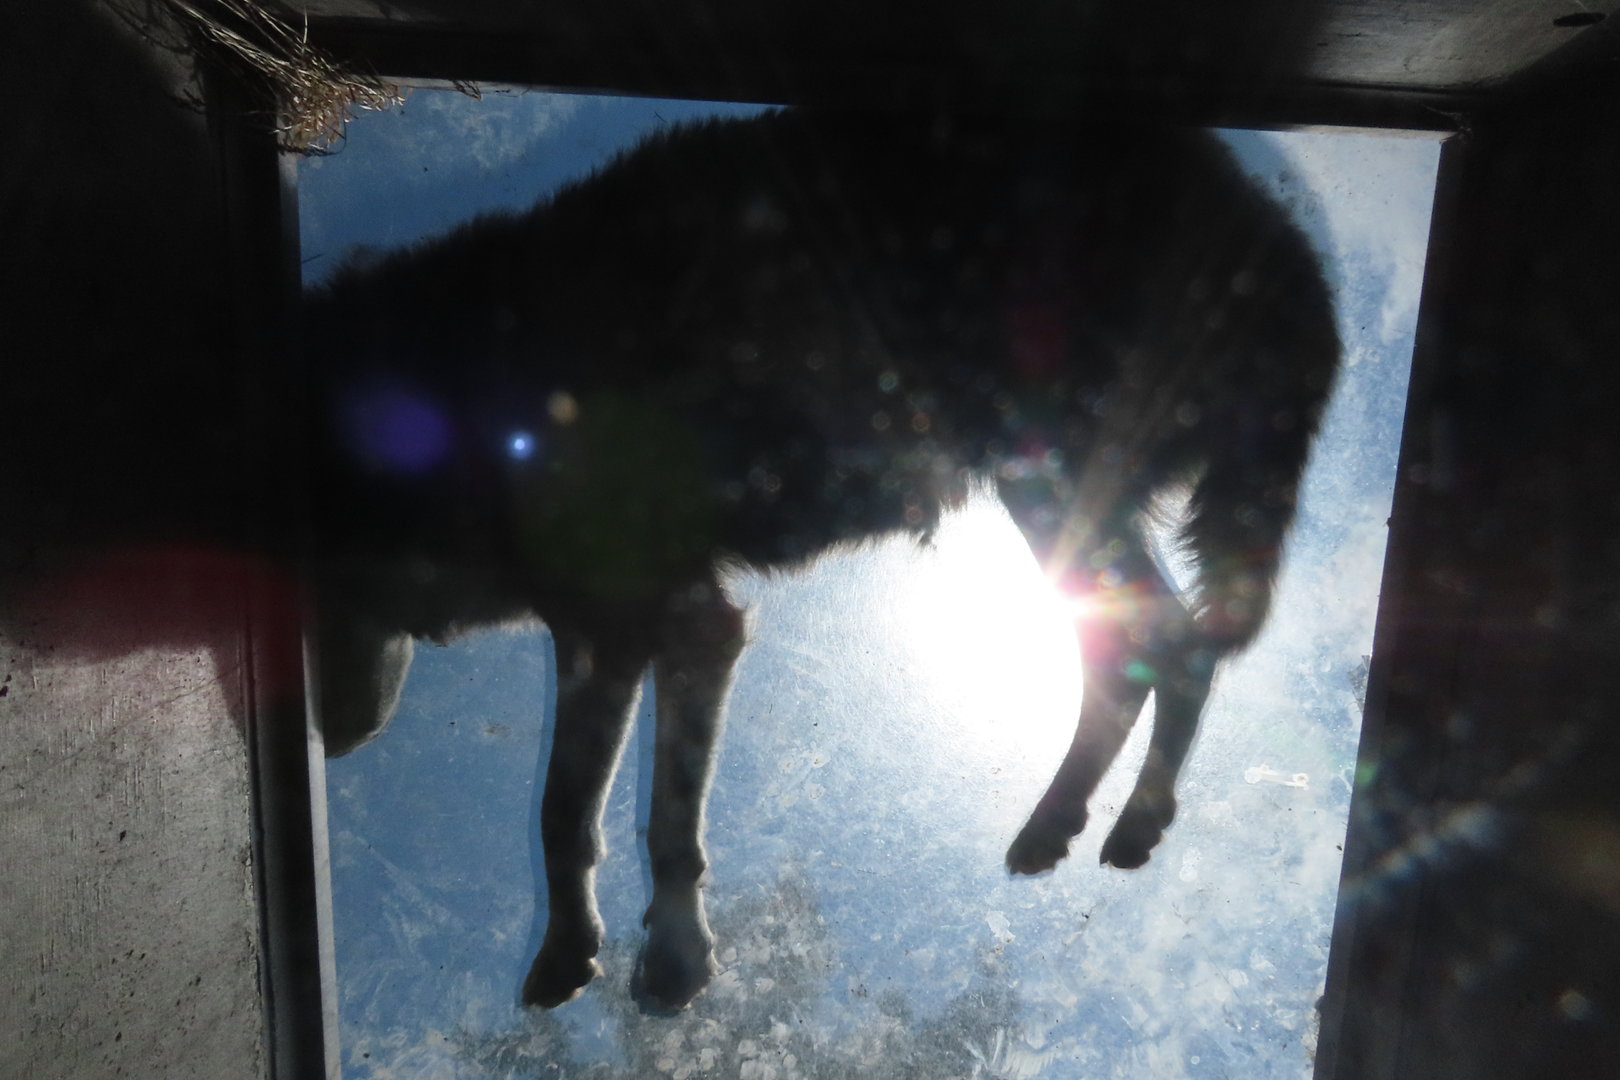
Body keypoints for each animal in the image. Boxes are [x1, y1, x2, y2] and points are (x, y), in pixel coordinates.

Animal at [300, 108, 1338, 1012]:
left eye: (307, 612)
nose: (333, 740)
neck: (468, 404)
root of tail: (1285, 248)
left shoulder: (677, 627)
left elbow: (638, 820)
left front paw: (659, 960)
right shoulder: (627, 632)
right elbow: (584, 817)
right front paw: (592, 953)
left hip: (1045, 483)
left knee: (1163, 646)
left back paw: (1103, 823)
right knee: (1156, 653)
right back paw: (1087, 826)